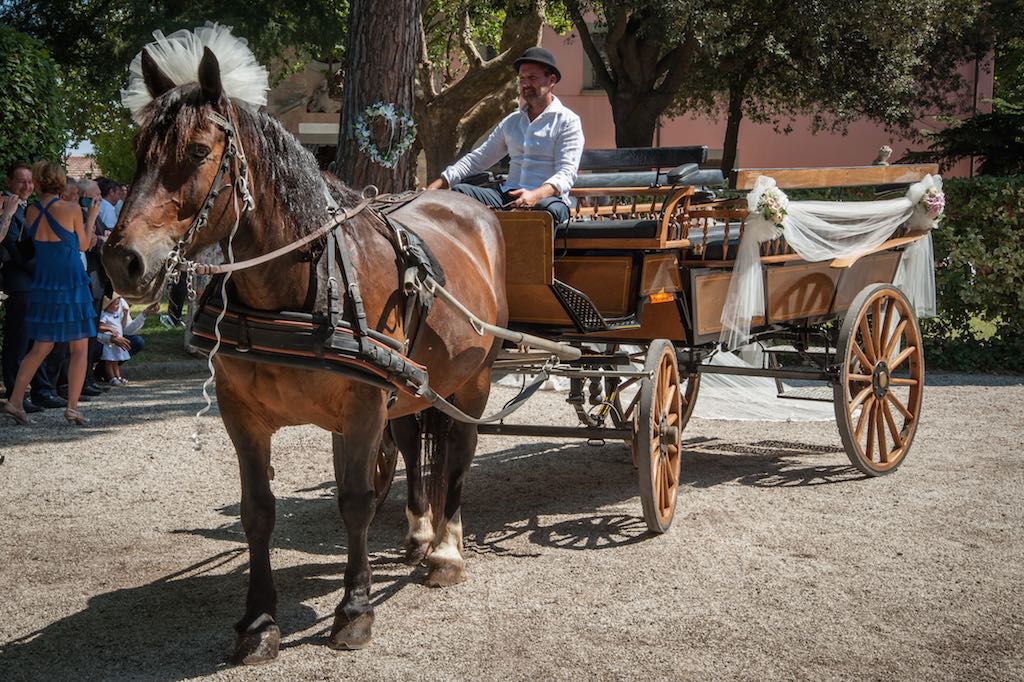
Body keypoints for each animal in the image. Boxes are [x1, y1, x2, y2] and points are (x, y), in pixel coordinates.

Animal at [101, 46, 505, 659]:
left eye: (197, 152)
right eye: (137, 149)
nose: (121, 261)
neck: (300, 286)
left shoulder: (363, 408)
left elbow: (356, 500)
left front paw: (355, 610)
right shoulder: (242, 414)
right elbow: (258, 511)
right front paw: (259, 620)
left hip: (471, 379)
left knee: (458, 452)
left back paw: (446, 552)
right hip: (413, 384)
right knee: (415, 444)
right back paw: (418, 533)